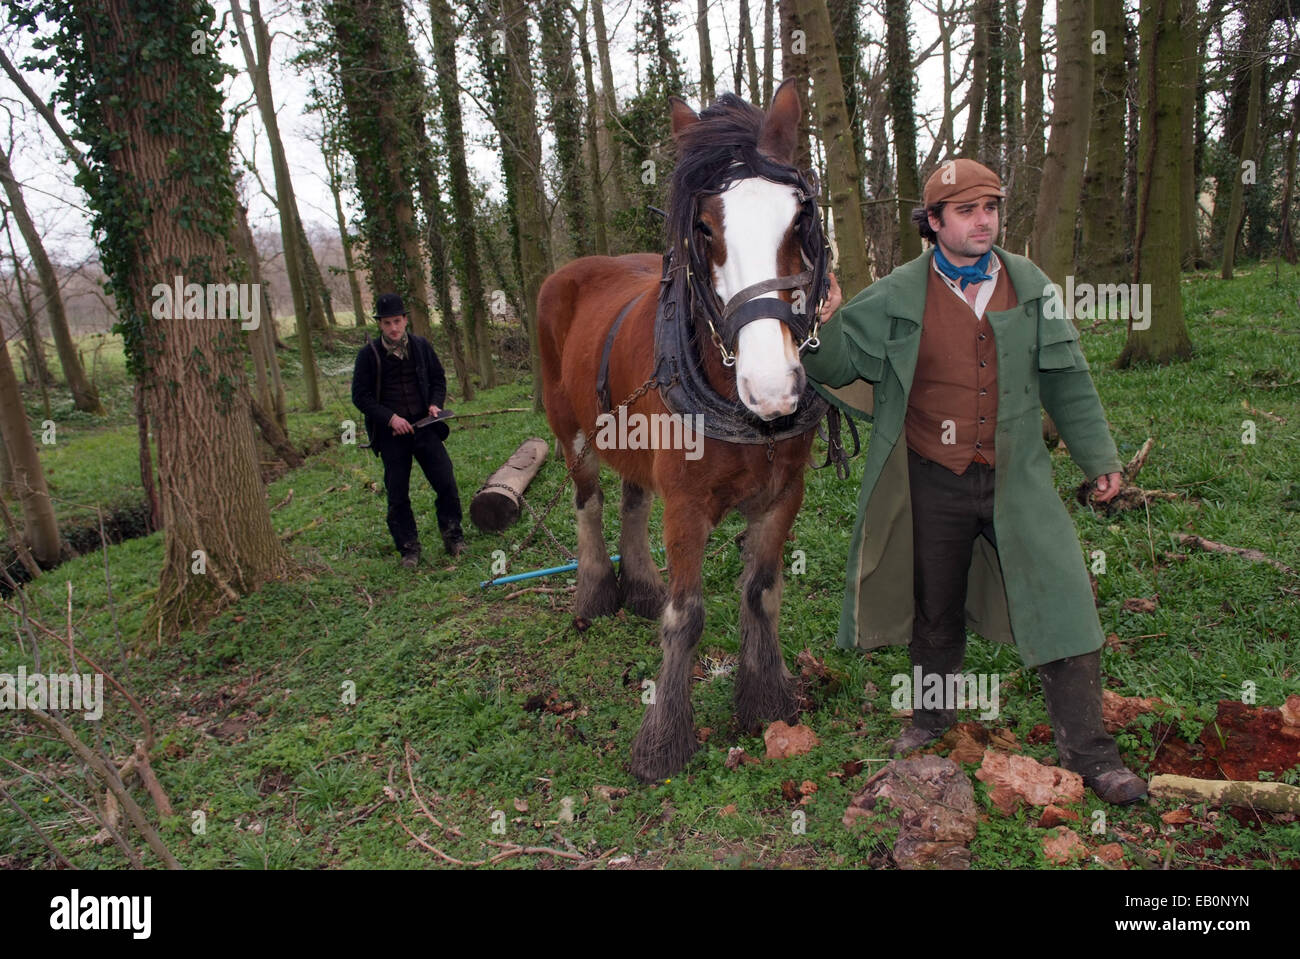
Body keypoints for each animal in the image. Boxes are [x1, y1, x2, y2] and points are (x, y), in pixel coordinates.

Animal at [535, 80, 821, 784]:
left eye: (798, 219)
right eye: (704, 228)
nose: (772, 389)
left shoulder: (784, 496)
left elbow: (761, 593)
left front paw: (765, 699)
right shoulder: (688, 507)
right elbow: (687, 616)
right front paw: (663, 739)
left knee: (634, 499)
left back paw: (638, 586)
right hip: (570, 430)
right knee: (590, 502)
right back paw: (595, 592)